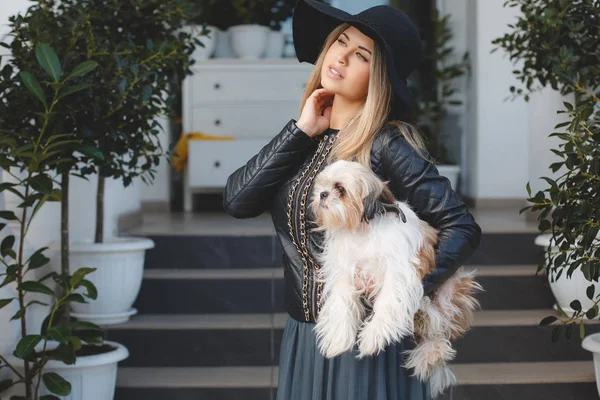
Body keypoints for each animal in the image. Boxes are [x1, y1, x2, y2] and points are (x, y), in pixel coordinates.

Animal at [310, 159, 482, 396]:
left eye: (340, 189)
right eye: (322, 185)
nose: (323, 194)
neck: (362, 230)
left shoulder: (398, 273)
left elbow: (388, 304)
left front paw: (371, 338)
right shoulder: (345, 273)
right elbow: (341, 304)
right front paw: (338, 338)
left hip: (450, 290)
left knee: (438, 326)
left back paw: (430, 348)